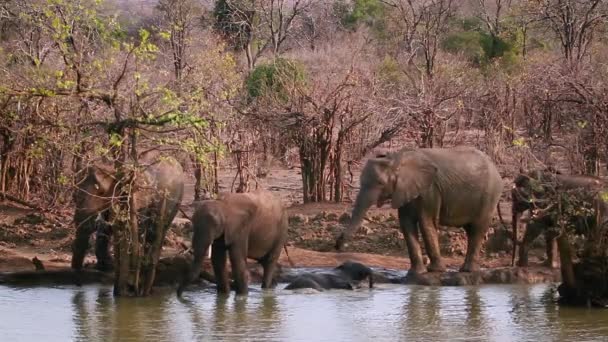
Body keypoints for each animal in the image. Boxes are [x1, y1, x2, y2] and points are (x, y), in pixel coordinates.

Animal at [334, 146, 502, 274]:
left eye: (381, 183)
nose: (338, 245)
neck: (397, 158)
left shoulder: (430, 190)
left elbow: (426, 223)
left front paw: (435, 271)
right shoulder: (403, 191)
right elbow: (406, 224)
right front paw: (416, 273)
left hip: (489, 196)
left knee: (477, 229)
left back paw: (468, 271)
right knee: (471, 230)